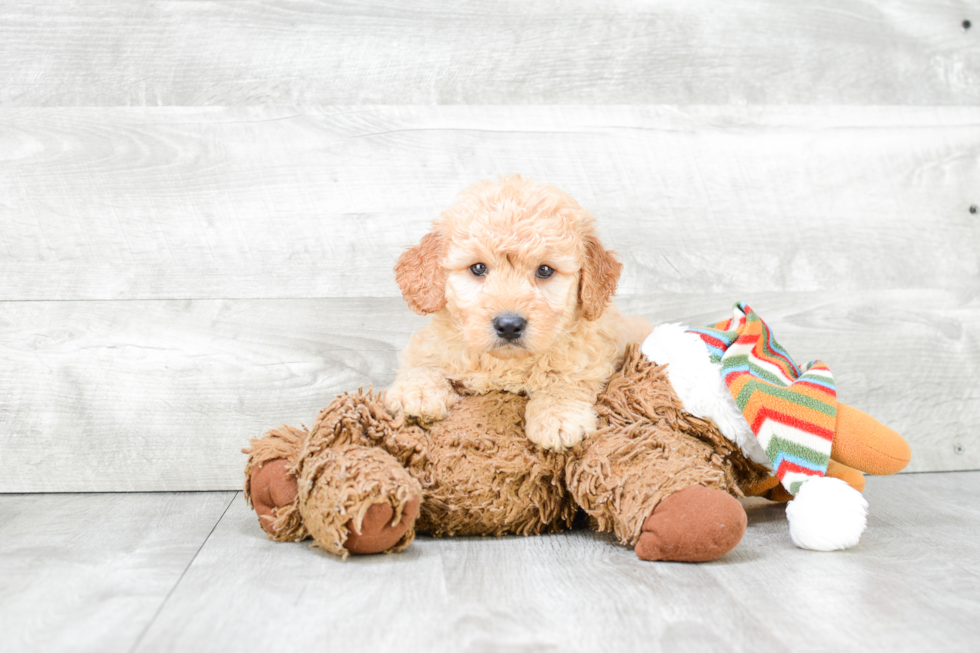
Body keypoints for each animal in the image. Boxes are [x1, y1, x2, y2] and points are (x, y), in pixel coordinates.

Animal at [384, 174, 652, 448]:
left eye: (545, 270)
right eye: (478, 267)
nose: (509, 325)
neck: (505, 362)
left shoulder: (588, 352)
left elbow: (565, 378)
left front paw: (558, 418)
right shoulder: (434, 343)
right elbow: (422, 363)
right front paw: (417, 393)